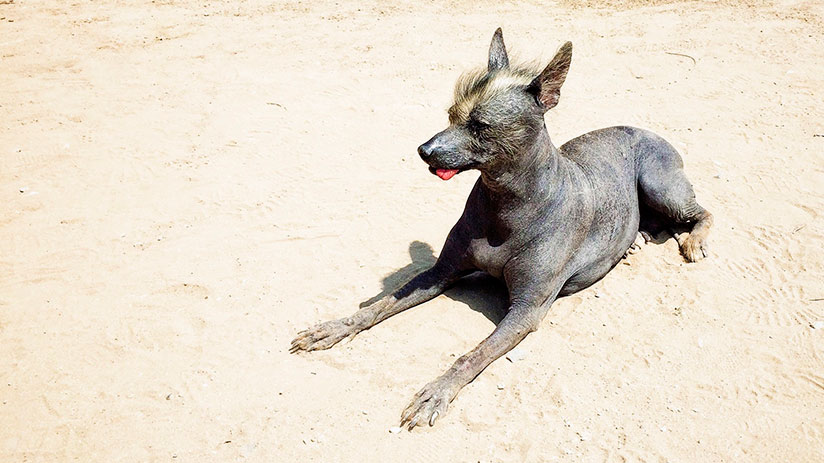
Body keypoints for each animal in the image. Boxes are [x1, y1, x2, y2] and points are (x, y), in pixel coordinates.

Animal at [290, 28, 708, 432]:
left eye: (480, 125)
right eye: (450, 114)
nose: (423, 151)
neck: (505, 205)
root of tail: (643, 128)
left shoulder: (526, 311)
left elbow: (471, 356)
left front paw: (436, 392)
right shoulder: (439, 273)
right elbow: (381, 305)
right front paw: (335, 327)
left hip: (659, 184)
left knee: (701, 213)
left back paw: (693, 241)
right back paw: (637, 239)